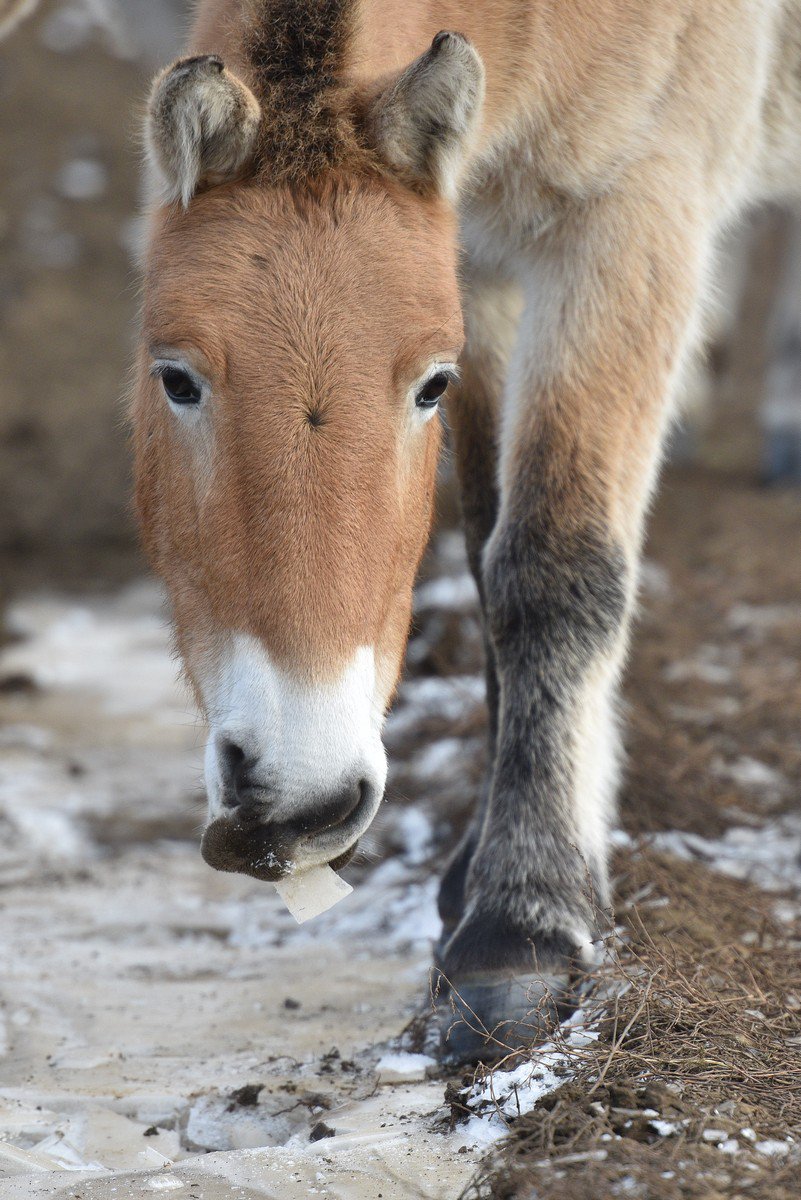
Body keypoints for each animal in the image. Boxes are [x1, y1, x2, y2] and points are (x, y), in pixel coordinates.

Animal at [134, 2, 801, 1070]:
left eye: (428, 386)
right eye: (175, 377)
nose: (302, 801)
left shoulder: (630, 223)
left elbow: (551, 565)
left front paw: (518, 928)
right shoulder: (478, 253)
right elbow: (488, 565)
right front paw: (470, 883)